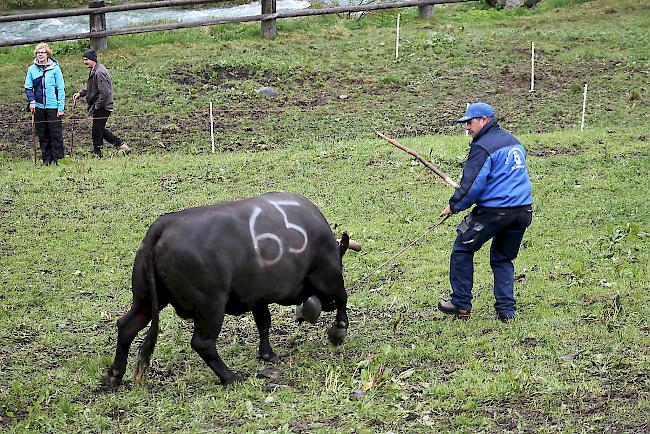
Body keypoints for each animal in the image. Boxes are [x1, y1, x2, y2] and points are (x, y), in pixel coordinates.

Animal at [104, 192, 352, 384]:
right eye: (340, 261)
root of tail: (162, 226)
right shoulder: (328, 274)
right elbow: (343, 296)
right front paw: (338, 330)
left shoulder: (258, 297)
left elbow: (264, 322)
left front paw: (267, 354)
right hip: (210, 306)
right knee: (202, 344)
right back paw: (231, 377)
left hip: (145, 300)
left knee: (126, 326)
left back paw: (114, 375)